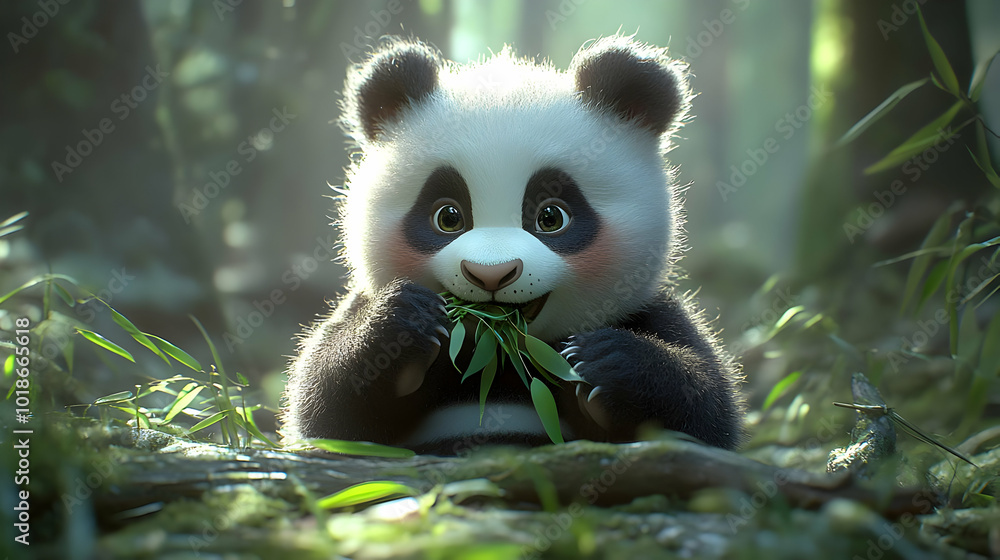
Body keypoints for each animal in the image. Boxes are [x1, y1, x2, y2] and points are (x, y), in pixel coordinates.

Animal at [281, 35, 744, 455]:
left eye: (551, 217)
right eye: (448, 217)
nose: (491, 274)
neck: (503, 356)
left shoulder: (644, 308)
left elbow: (710, 415)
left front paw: (605, 362)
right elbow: (324, 410)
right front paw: (400, 323)